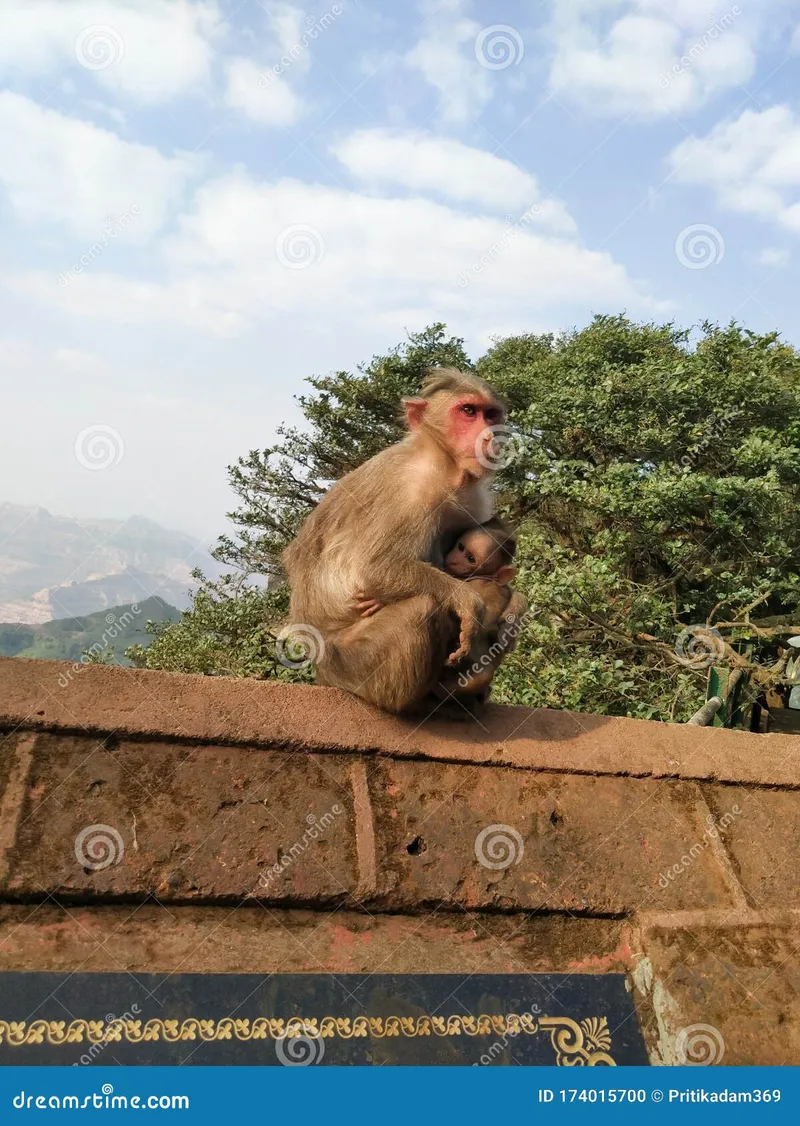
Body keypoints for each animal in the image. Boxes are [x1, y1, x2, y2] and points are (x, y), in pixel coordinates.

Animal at [281, 369, 507, 711]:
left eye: (491, 414)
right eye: (468, 411)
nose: (489, 435)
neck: (444, 466)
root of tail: (322, 671)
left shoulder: (473, 499)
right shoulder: (409, 490)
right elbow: (374, 568)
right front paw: (468, 601)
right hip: (352, 665)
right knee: (423, 607)